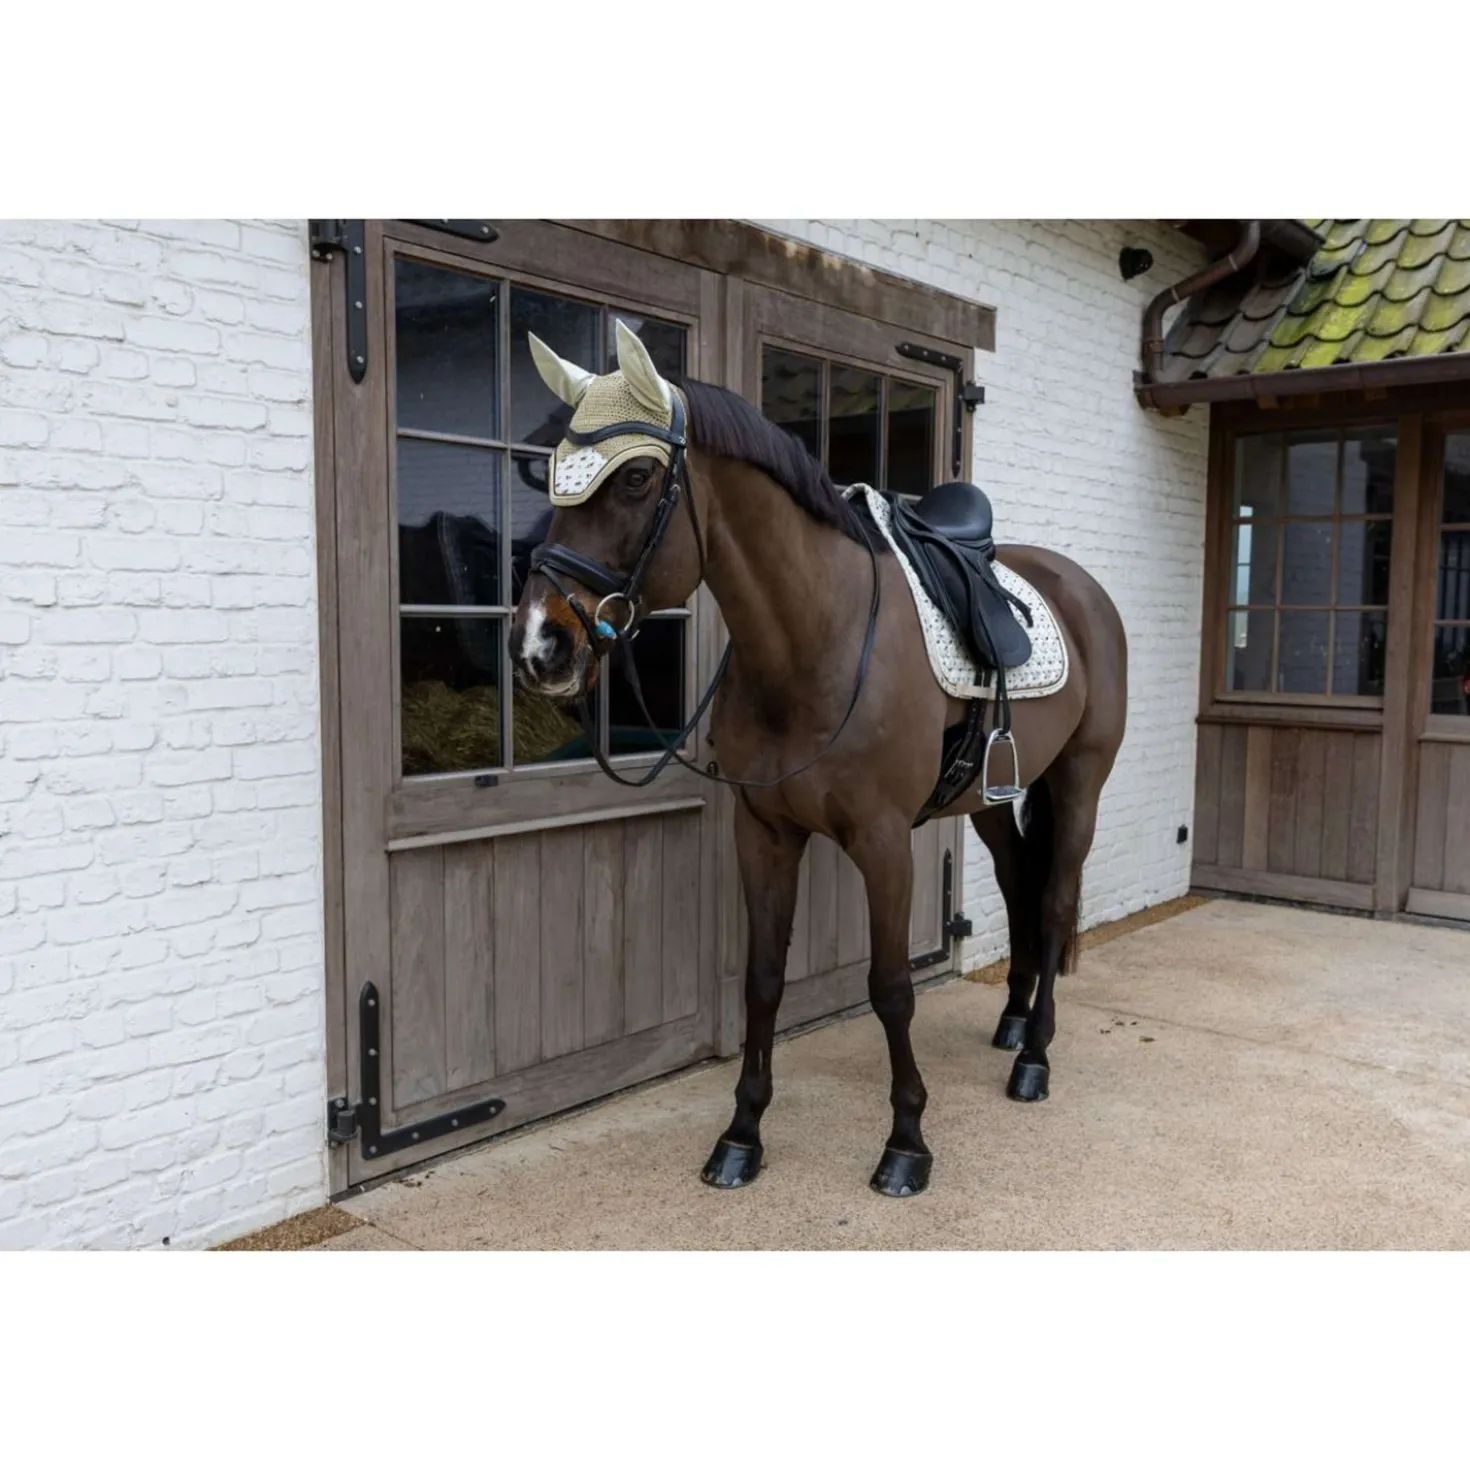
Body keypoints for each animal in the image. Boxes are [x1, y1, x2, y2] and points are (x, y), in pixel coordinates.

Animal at [509, 321, 1128, 1198]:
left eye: (634, 476)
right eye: (554, 471)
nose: (539, 645)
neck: (814, 641)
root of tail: (1082, 590)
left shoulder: (884, 841)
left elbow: (890, 987)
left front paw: (906, 1142)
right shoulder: (765, 832)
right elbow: (763, 979)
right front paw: (741, 1134)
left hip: (1079, 783)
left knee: (1055, 899)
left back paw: (1035, 1057)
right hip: (990, 799)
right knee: (1018, 885)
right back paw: (1010, 1024)